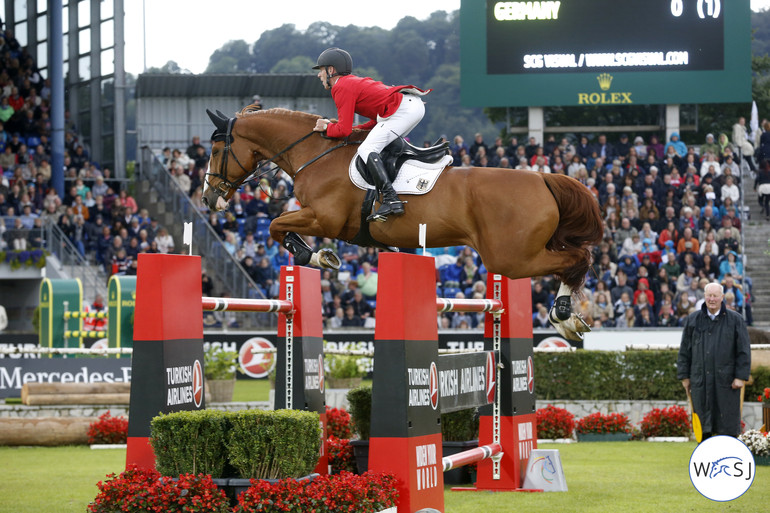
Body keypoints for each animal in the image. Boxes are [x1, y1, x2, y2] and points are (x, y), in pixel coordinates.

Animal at [201, 107, 604, 340]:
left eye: (218, 150)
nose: (208, 198)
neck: (316, 154)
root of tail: (544, 178)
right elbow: (280, 225)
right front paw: (319, 256)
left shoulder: (323, 218)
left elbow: (275, 224)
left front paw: (313, 256)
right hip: (520, 252)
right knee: (574, 259)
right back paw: (567, 317)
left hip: (510, 257)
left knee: (576, 259)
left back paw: (564, 318)